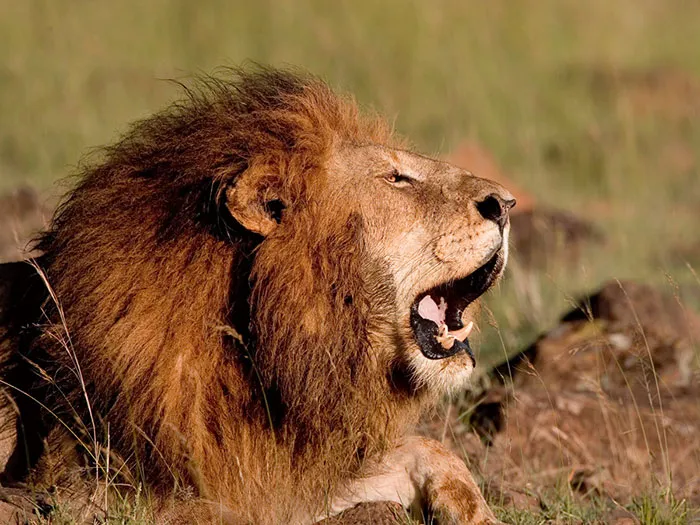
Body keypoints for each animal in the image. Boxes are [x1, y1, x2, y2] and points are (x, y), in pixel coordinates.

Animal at [0, 67, 514, 524]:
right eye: (396, 179)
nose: (506, 204)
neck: (266, 354)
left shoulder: (288, 471)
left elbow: (432, 449)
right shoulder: (117, 494)